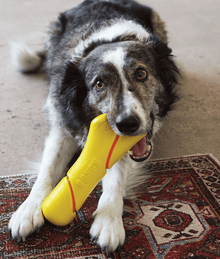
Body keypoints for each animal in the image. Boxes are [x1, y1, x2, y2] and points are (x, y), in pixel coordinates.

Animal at [8, 0, 179, 253]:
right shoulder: (62, 126)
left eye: (141, 73)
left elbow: (115, 179)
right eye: (99, 84)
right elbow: (47, 170)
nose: (128, 124)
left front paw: (109, 222)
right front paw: (28, 211)